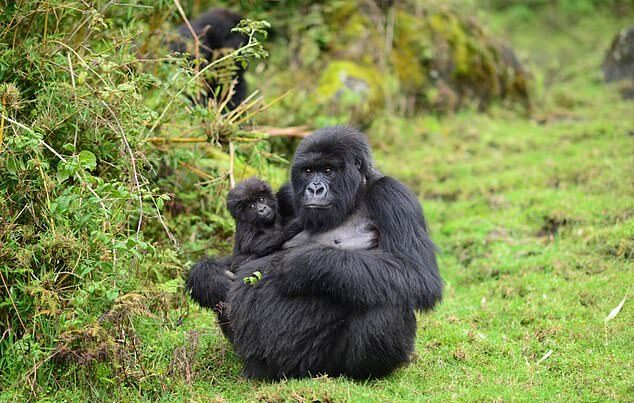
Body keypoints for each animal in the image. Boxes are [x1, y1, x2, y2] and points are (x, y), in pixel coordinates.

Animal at [188, 127, 442, 382]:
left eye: (328, 171)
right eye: (308, 171)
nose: (314, 189)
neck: (354, 196)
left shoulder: (393, 195)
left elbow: (416, 273)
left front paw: (301, 264)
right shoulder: (286, 194)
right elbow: (241, 257)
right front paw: (208, 279)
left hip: (324, 366)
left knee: (389, 298)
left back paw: (366, 374)